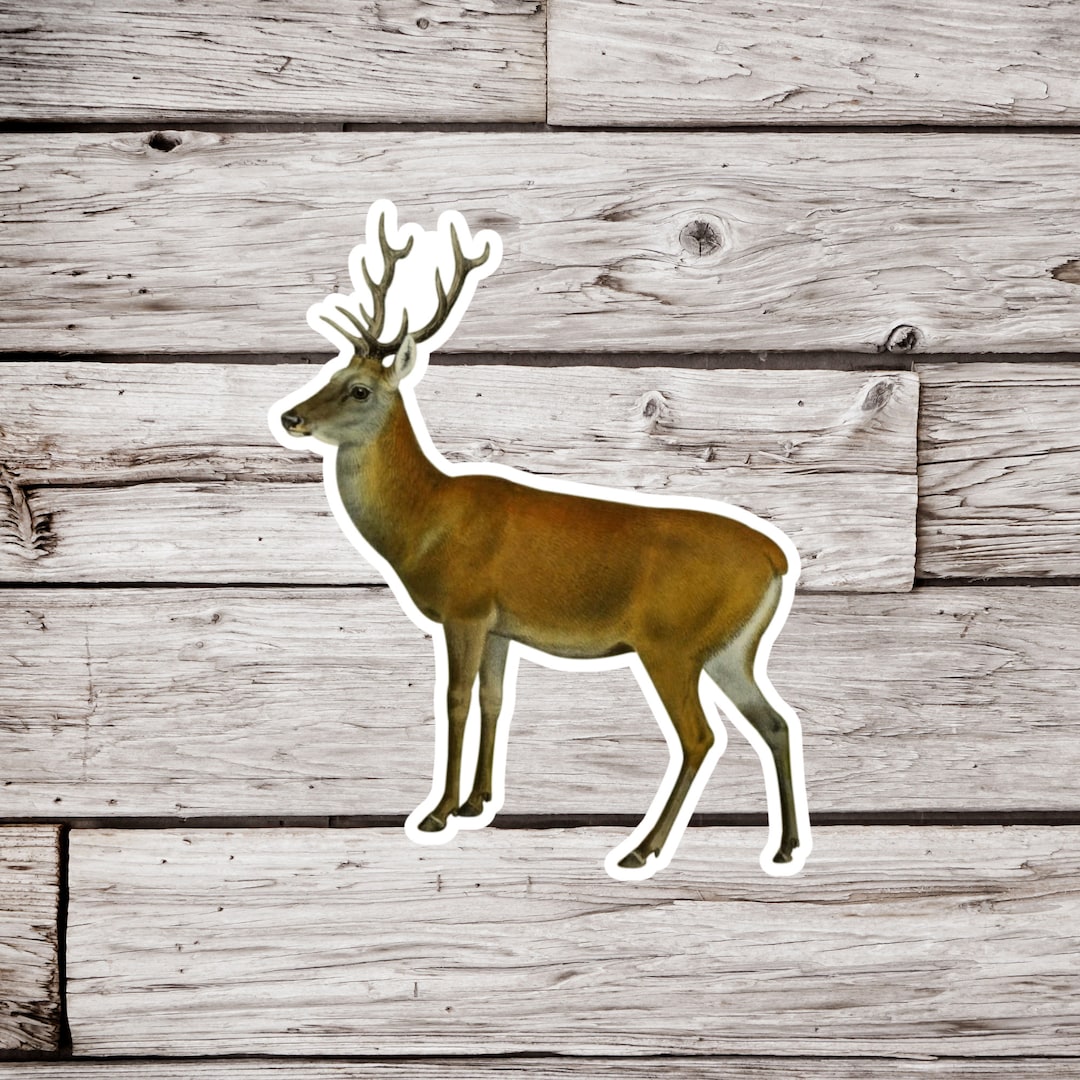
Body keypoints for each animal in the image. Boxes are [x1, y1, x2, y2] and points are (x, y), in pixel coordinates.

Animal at [271, 201, 810, 881]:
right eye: (330, 372)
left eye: (359, 388)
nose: (290, 417)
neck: (424, 526)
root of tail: (777, 557)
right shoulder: (501, 624)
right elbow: (496, 699)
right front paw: (477, 801)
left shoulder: (465, 607)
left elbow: (455, 699)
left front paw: (438, 812)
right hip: (730, 649)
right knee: (777, 722)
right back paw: (785, 846)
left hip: (673, 644)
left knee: (699, 737)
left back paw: (641, 848)